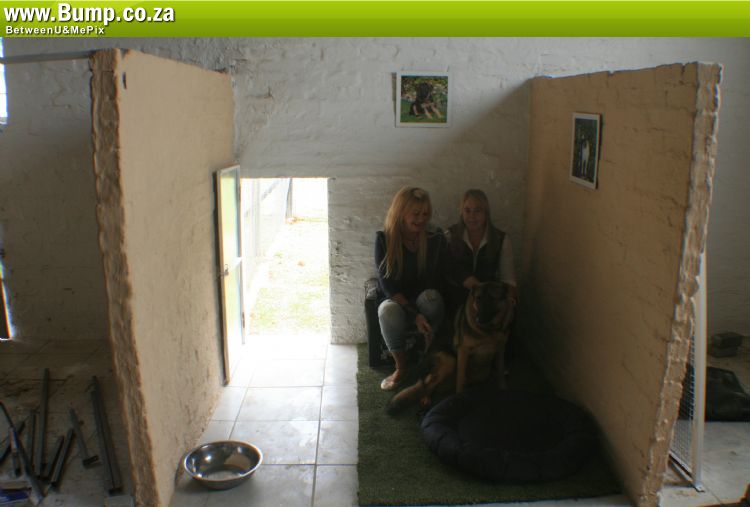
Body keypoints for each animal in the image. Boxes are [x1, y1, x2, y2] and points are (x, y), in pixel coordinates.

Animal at [387, 282, 515, 414]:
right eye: (478, 298)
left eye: (492, 298)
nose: (479, 319)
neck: (488, 331)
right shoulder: (463, 351)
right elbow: (460, 380)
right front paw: (458, 400)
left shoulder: (501, 350)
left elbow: (500, 372)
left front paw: (503, 389)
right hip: (449, 361)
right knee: (426, 385)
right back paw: (426, 399)